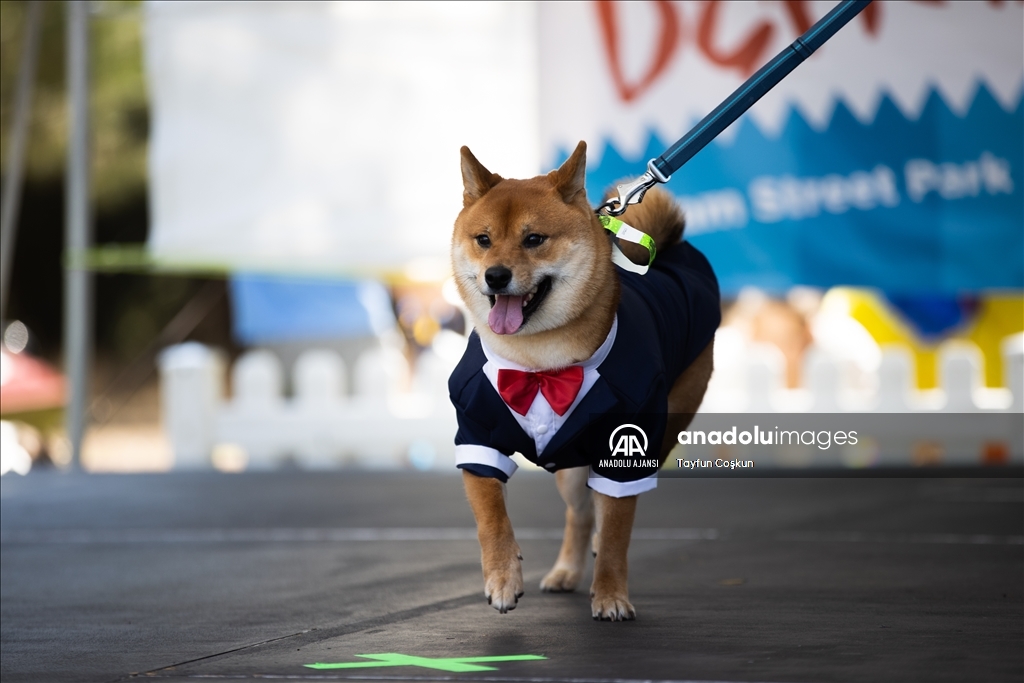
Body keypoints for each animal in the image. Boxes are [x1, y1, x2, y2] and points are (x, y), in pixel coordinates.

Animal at [448, 141, 720, 622]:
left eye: (533, 239)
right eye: (483, 240)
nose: (495, 275)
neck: (538, 365)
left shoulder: (625, 449)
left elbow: (615, 535)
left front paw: (611, 595)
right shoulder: (477, 431)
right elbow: (491, 518)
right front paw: (502, 578)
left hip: (653, 432)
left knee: (600, 512)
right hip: (570, 469)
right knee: (580, 515)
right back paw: (565, 572)